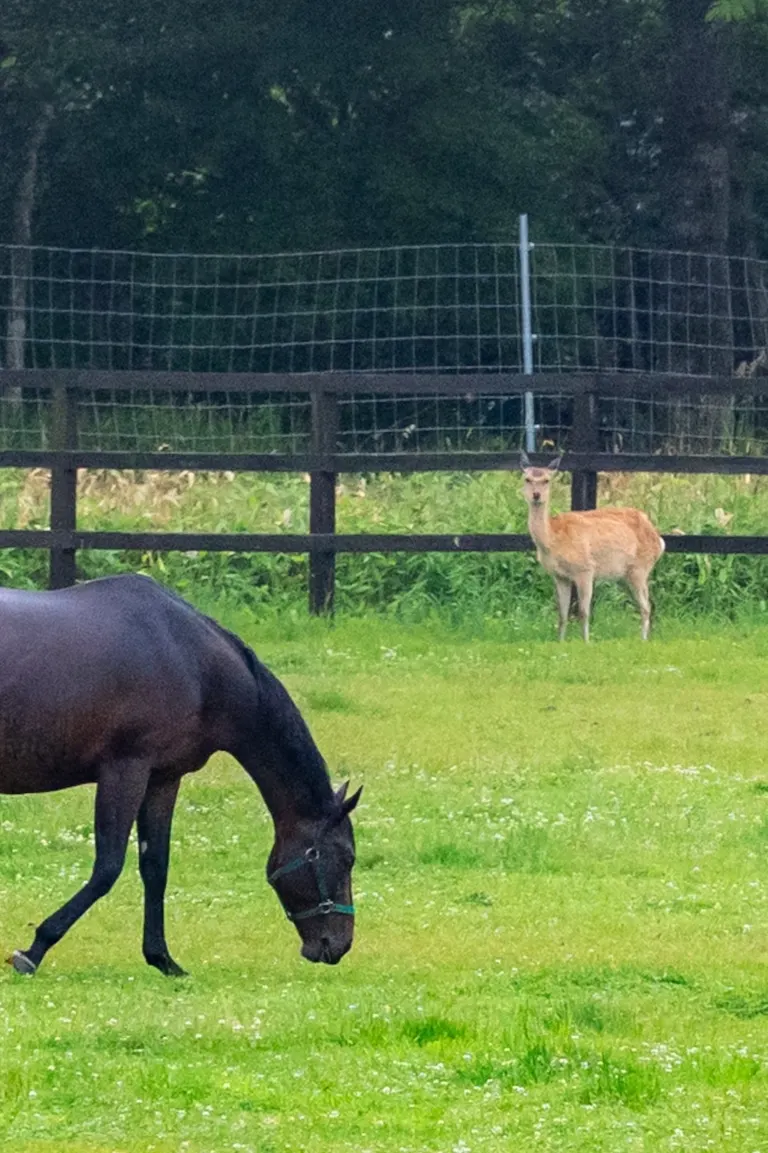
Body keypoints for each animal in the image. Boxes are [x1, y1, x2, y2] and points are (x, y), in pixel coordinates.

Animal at [520, 452, 665, 642]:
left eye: (546, 480)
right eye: (527, 479)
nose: (536, 495)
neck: (554, 539)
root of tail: (659, 540)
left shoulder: (585, 569)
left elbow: (583, 612)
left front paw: (586, 642)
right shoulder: (559, 575)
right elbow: (562, 614)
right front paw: (560, 642)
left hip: (640, 567)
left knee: (646, 606)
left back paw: (642, 640)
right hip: (625, 576)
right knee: (648, 603)